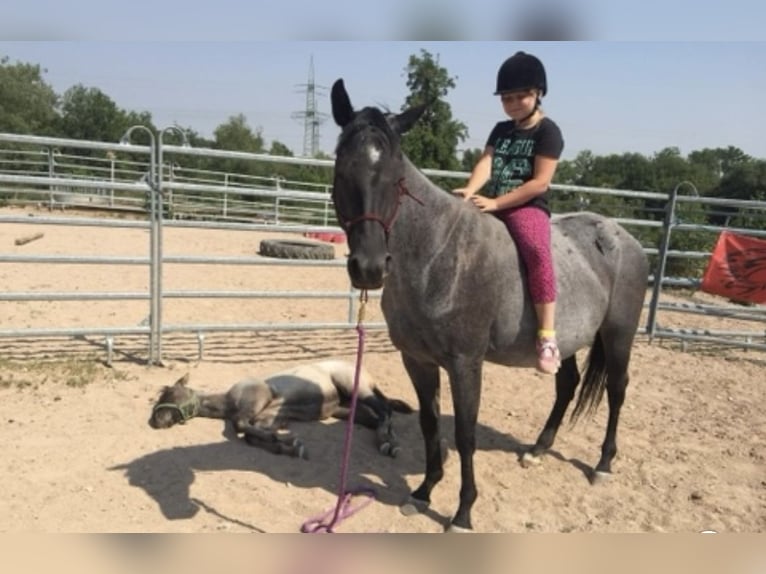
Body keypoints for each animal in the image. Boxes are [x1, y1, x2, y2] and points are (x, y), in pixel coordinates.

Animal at [150, 362, 414, 462]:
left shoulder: (258, 403)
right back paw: (387, 441)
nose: (156, 421)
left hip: (356, 387)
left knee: (385, 410)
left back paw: (390, 444)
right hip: (346, 408)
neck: (229, 400)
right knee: (376, 418)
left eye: (170, 394)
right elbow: (251, 436)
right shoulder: (268, 418)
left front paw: (284, 439)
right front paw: (289, 446)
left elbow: (240, 427)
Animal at [332, 79, 656, 532]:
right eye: (342, 168)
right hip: (566, 340)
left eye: (397, 178)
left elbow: (465, 434)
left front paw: (463, 512)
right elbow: (430, 424)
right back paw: (538, 449)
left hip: (619, 333)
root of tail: (622, 237)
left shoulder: (466, 363)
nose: (370, 267)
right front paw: (423, 491)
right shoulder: (417, 360)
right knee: (567, 384)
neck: (438, 253)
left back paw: (603, 464)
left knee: (617, 389)